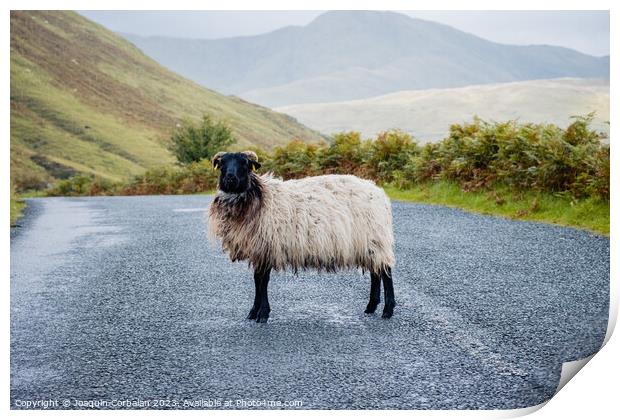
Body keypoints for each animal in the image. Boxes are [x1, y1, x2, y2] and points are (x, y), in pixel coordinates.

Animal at [206, 149, 394, 324]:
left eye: (245, 164)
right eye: (222, 164)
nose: (230, 178)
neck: (259, 196)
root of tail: (378, 191)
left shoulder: (268, 246)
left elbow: (263, 281)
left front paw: (263, 314)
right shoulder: (258, 249)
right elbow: (257, 281)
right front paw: (253, 312)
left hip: (376, 238)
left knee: (385, 272)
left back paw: (388, 310)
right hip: (369, 243)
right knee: (376, 272)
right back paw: (371, 306)